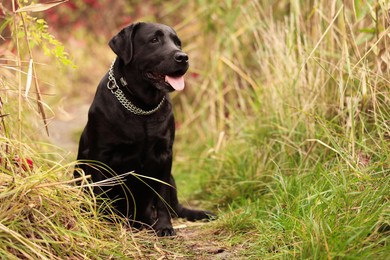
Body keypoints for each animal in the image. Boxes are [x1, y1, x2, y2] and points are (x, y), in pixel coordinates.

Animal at [77, 23, 213, 237]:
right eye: (154, 40)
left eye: (178, 42)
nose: (183, 57)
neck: (142, 107)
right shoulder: (100, 155)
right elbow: (99, 192)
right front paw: (101, 226)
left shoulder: (165, 155)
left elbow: (161, 197)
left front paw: (164, 227)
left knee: (175, 207)